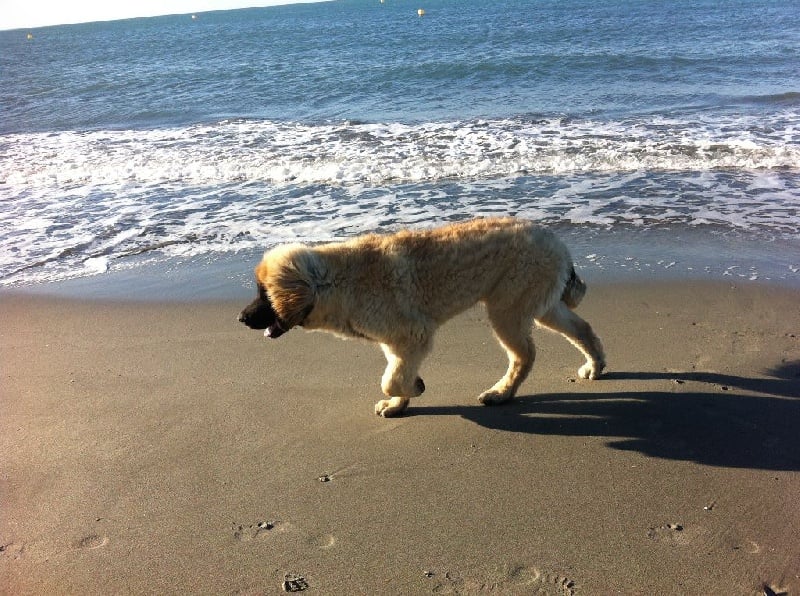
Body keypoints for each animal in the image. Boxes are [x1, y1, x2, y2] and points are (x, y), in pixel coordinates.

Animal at [239, 217, 608, 416]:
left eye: (263, 295)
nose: (241, 319)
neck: (336, 281)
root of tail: (557, 242)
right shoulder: (396, 343)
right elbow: (396, 372)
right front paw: (398, 404)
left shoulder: (414, 334)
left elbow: (390, 378)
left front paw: (412, 390)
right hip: (540, 304)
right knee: (582, 327)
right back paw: (595, 365)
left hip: (507, 308)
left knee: (524, 355)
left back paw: (501, 393)